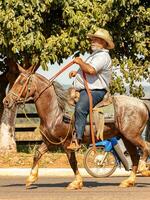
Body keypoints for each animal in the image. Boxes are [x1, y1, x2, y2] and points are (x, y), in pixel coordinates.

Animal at [2, 64, 150, 189]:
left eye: (21, 82)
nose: (6, 101)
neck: (56, 111)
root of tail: (142, 103)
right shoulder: (50, 141)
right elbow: (37, 153)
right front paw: (31, 178)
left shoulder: (67, 142)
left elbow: (72, 162)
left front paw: (76, 182)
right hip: (127, 138)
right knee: (135, 157)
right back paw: (129, 181)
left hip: (132, 135)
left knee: (145, 148)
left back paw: (143, 169)